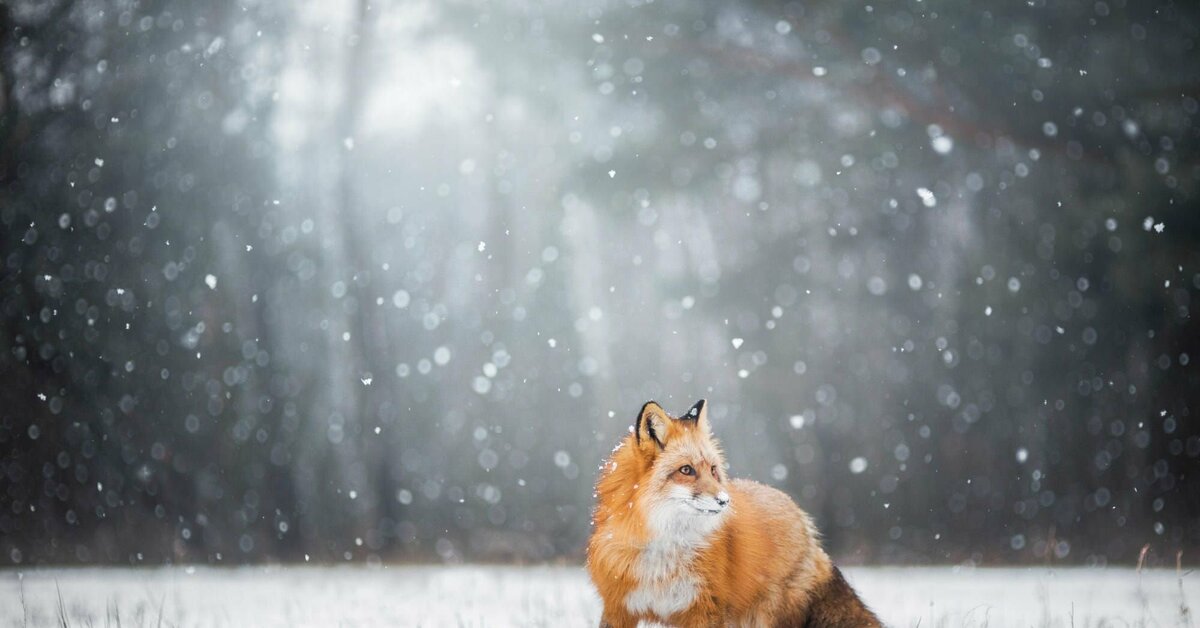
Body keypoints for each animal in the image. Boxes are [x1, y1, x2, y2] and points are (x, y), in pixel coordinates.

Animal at [588, 401, 883, 624]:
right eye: (686, 470)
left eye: (713, 470)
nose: (724, 501)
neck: (662, 549)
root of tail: (803, 519)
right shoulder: (618, 608)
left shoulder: (704, 610)